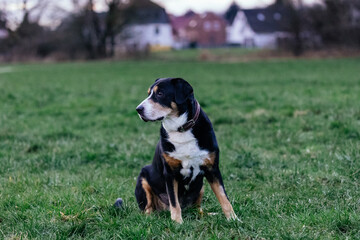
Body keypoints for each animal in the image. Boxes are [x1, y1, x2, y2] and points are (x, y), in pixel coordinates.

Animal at [134, 77, 238, 223]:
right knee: (148, 210)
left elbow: (224, 197)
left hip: (200, 188)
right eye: (149, 93)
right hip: (143, 177)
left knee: (198, 210)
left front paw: (234, 219)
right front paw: (177, 223)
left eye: (160, 93)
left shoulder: (212, 169)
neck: (181, 129)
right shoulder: (170, 173)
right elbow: (174, 202)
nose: (138, 109)